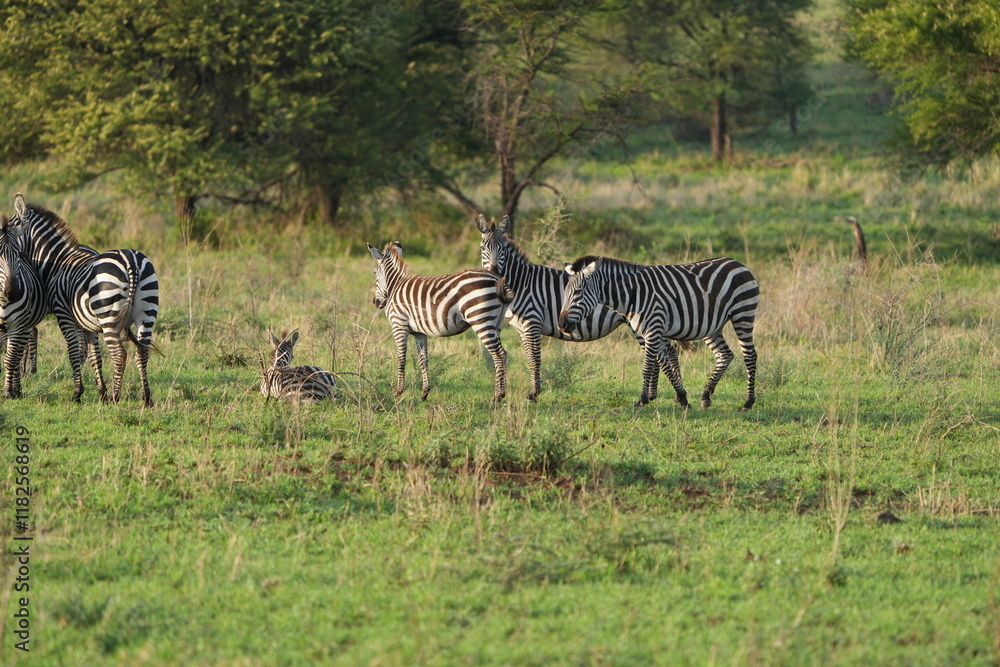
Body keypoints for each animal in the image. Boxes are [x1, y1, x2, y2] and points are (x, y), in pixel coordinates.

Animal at [0, 213, 48, 398]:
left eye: (19, 254)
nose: (13, 293)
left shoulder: (17, 325)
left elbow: (10, 359)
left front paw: (8, 391)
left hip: (24, 325)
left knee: (17, 354)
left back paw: (17, 389)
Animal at [10, 194, 160, 406]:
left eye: (7, 229)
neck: (57, 261)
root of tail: (131, 262)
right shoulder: (88, 324)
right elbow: (95, 357)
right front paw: (101, 393)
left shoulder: (65, 316)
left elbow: (73, 353)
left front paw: (78, 393)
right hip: (147, 313)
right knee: (142, 352)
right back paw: (146, 398)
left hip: (109, 316)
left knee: (119, 355)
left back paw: (115, 397)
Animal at [368, 240, 513, 403]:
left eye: (374, 273)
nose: (376, 302)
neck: (394, 286)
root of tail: (496, 279)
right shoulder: (420, 332)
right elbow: (423, 360)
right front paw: (425, 393)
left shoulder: (398, 325)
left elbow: (401, 358)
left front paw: (398, 392)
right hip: (496, 323)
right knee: (503, 354)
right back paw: (499, 394)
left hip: (481, 319)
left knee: (499, 355)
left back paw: (497, 396)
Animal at [559, 255, 759, 410]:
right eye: (565, 292)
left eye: (577, 292)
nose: (562, 324)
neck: (633, 294)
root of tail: (737, 263)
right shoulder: (652, 331)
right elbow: (665, 364)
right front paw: (682, 398)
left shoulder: (654, 328)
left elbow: (647, 367)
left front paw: (642, 401)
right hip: (712, 326)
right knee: (725, 355)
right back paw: (706, 395)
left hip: (743, 313)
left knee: (749, 355)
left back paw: (748, 402)